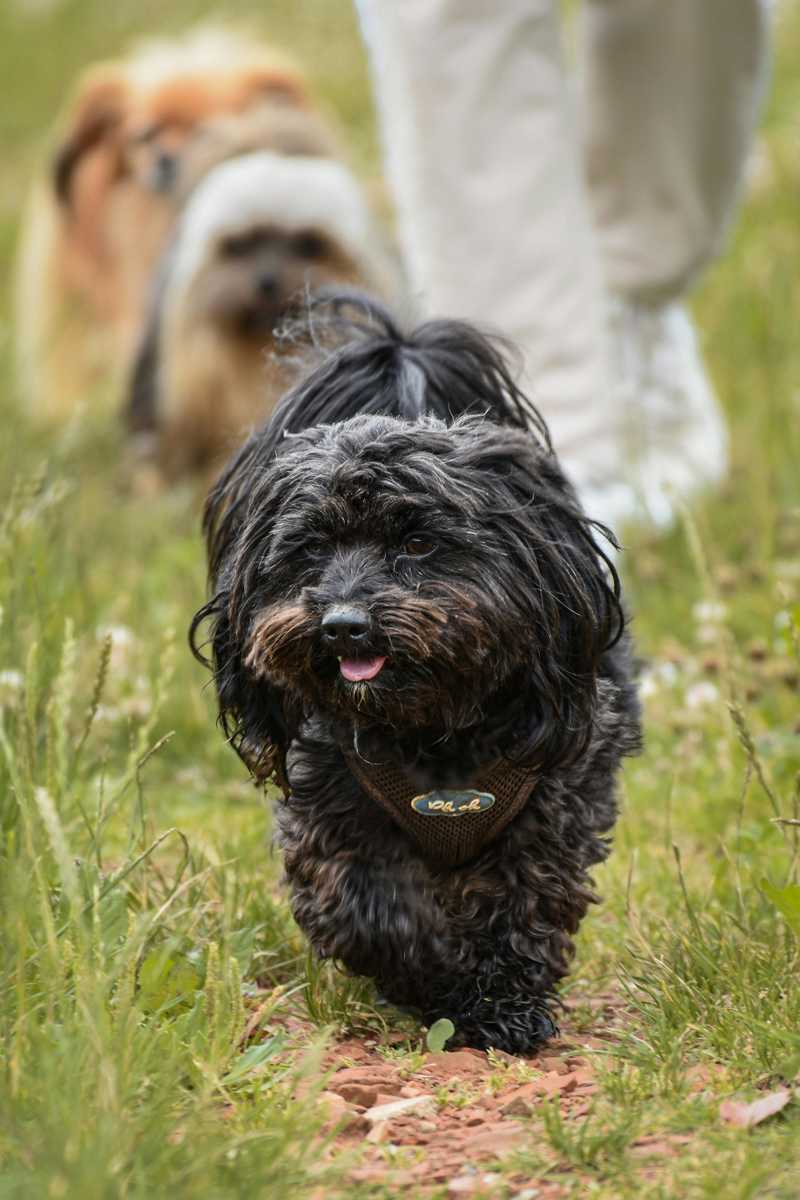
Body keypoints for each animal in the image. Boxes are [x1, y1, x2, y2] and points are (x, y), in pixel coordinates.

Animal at [190, 295, 642, 1056]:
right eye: (311, 548)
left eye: (419, 542)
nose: (343, 625)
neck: (431, 727)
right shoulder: (333, 814)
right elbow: (372, 910)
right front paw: (433, 982)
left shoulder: (554, 806)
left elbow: (523, 905)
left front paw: (503, 1007)